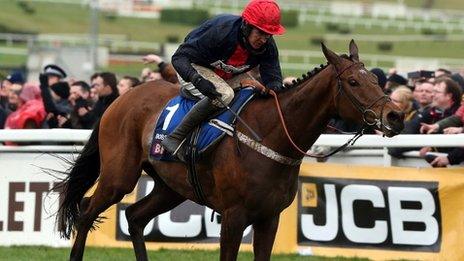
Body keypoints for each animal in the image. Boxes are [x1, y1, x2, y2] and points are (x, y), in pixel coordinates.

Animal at [55, 39, 402, 258]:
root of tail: (120, 99)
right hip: (119, 176)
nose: (395, 116)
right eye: (354, 83)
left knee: (136, 217)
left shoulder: (268, 218)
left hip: (171, 187)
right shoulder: (234, 218)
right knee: (86, 211)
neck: (270, 136)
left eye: (375, 79)